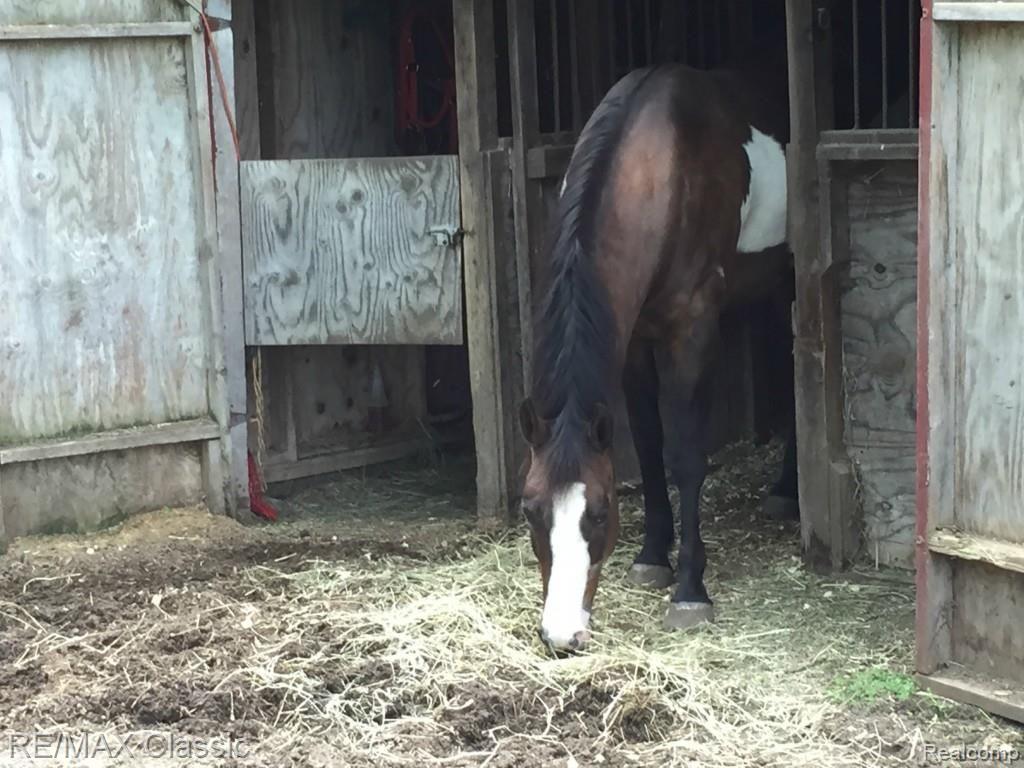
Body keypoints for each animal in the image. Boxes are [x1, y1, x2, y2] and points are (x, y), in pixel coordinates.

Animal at [518, 63, 798, 652]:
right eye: (530, 511)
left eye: (600, 512)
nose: (561, 633)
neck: (660, 168)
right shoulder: (632, 344)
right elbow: (647, 447)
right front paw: (652, 557)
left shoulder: (692, 333)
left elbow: (686, 456)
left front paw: (690, 588)